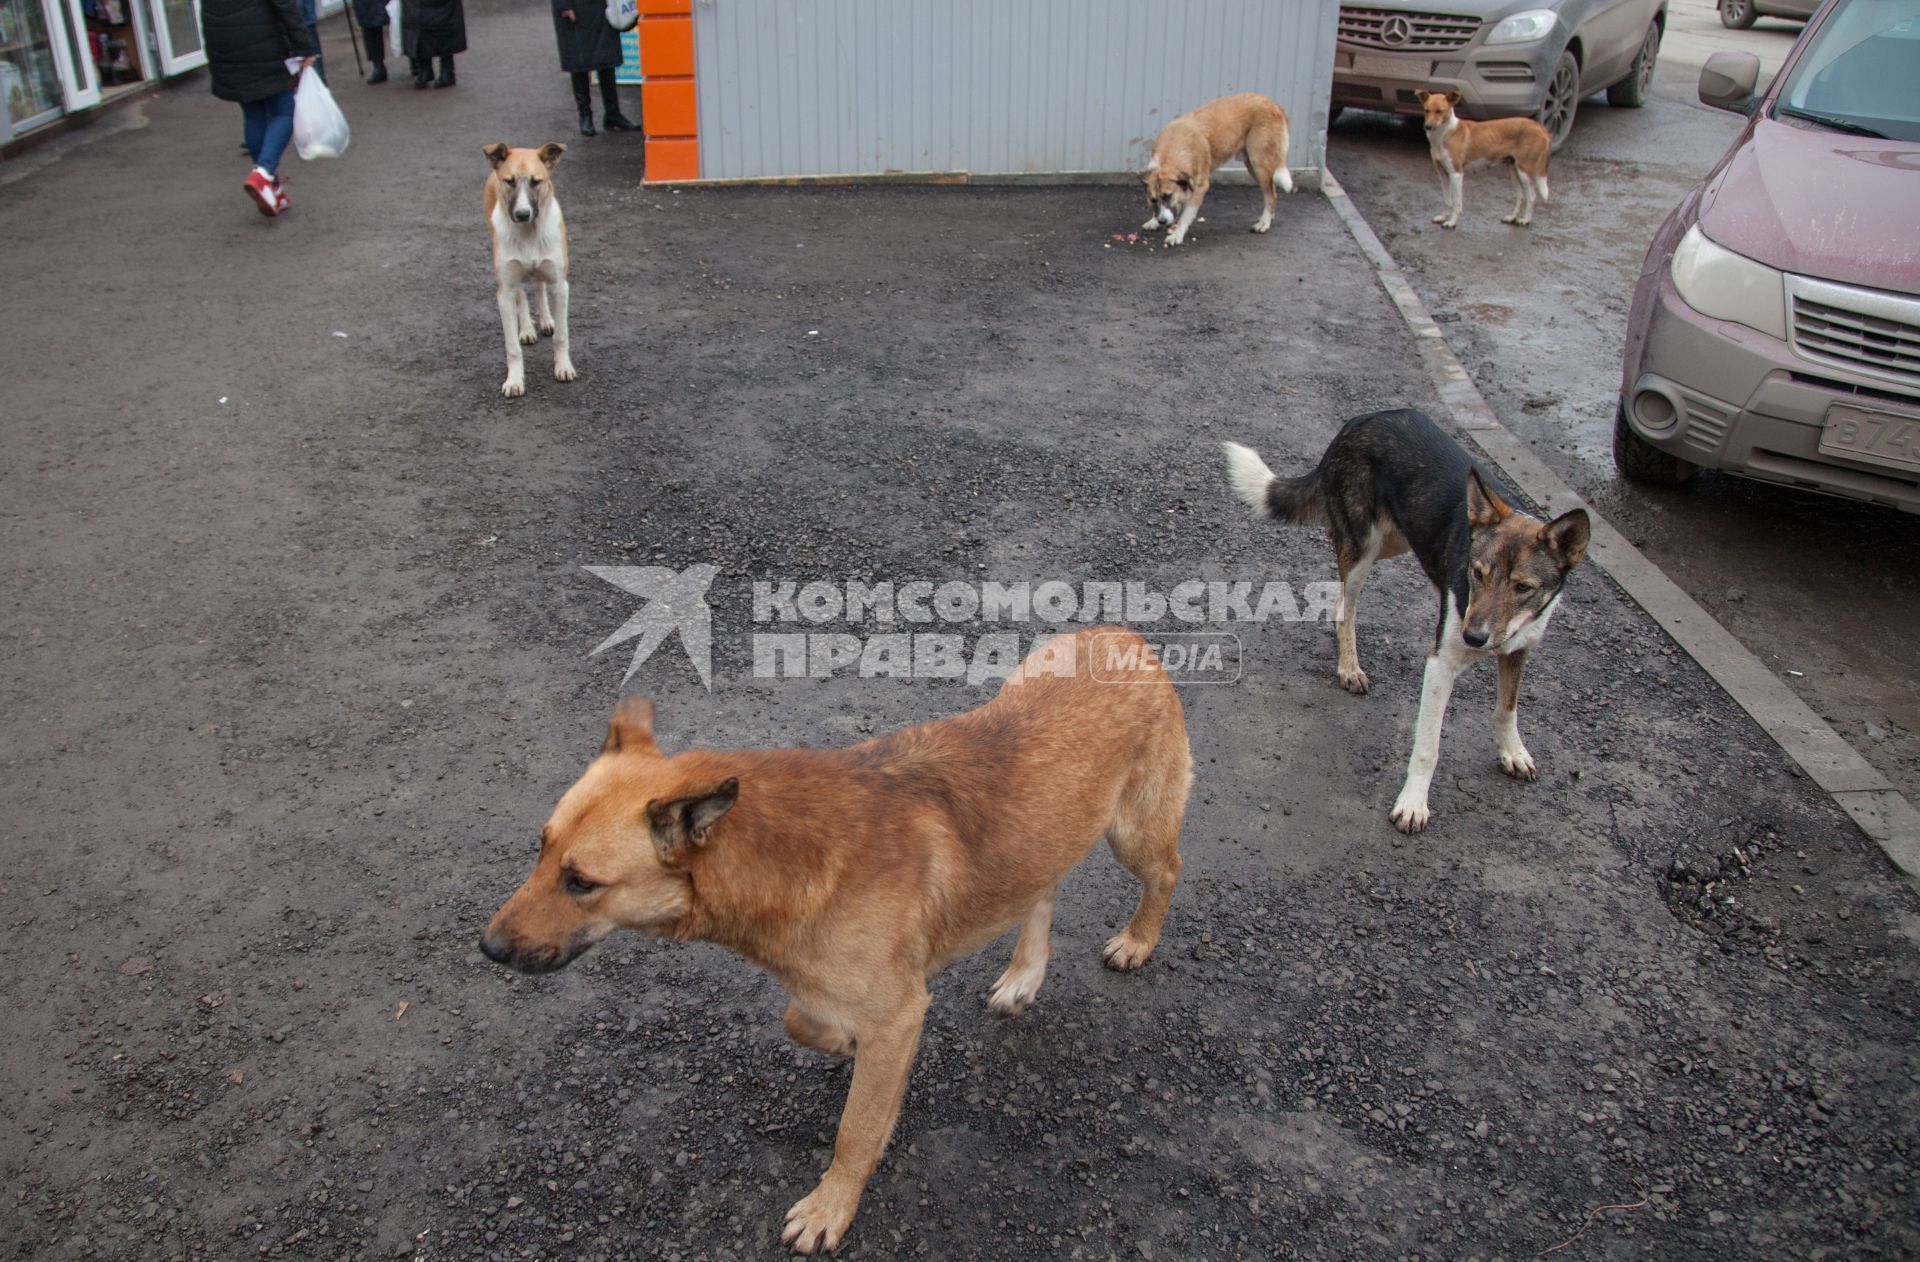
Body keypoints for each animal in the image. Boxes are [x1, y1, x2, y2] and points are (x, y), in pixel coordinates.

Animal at [480, 139, 576, 393]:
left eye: (536, 181)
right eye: (509, 181)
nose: (522, 214)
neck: (529, 233)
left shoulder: (560, 285)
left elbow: (561, 336)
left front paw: (563, 367)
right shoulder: (504, 291)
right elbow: (512, 347)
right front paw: (514, 380)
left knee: (539, 286)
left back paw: (546, 320)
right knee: (522, 295)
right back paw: (526, 329)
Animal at [483, 626, 1182, 1252]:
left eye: (582, 882)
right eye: (540, 849)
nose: (488, 949)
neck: (782, 856)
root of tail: (1123, 634)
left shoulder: (898, 1014)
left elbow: (856, 1129)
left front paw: (831, 1206)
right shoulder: (857, 1001)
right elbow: (802, 1021)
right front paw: (844, 1046)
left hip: (1133, 835)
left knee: (1166, 873)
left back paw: (1137, 940)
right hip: (1042, 836)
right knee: (1043, 891)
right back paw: (1023, 976)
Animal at [1136, 90, 1290, 245]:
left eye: (1168, 196)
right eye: (1153, 200)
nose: (1161, 221)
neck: (1171, 152)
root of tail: (1273, 104)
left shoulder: (1201, 187)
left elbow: (1185, 216)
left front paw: (1177, 234)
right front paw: (1153, 221)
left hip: (1259, 164)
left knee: (1271, 195)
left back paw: (1264, 223)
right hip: (1252, 166)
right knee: (1272, 191)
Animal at [1228, 409, 1589, 833]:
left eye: (1523, 587)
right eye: (1478, 573)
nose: (1473, 637)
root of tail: (1359, 421)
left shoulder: (1519, 650)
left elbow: (1507, 708)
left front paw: (1512, 752)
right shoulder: (1441, 664)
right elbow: (1428, 748)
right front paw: (1413, 803)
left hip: (1396, 540)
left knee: (1339, 600)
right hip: (1364, 543)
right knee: (1347, 607)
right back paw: (1349, 667)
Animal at [1420, 89, 1551, 230]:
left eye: (1439, 111)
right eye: (1426, 110)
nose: (1427, 126)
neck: (1445, 134)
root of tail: (1540, 127)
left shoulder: (1456, 174)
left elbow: (1456, 203)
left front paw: (1452, 222)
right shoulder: (1443, 174)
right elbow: (1447, 200)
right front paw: (1443, 217)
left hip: (1524, 172)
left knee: (1531, 197)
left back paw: (1525, 220)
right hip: (1514, 171)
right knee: (1521, 196)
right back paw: (1512, 217)